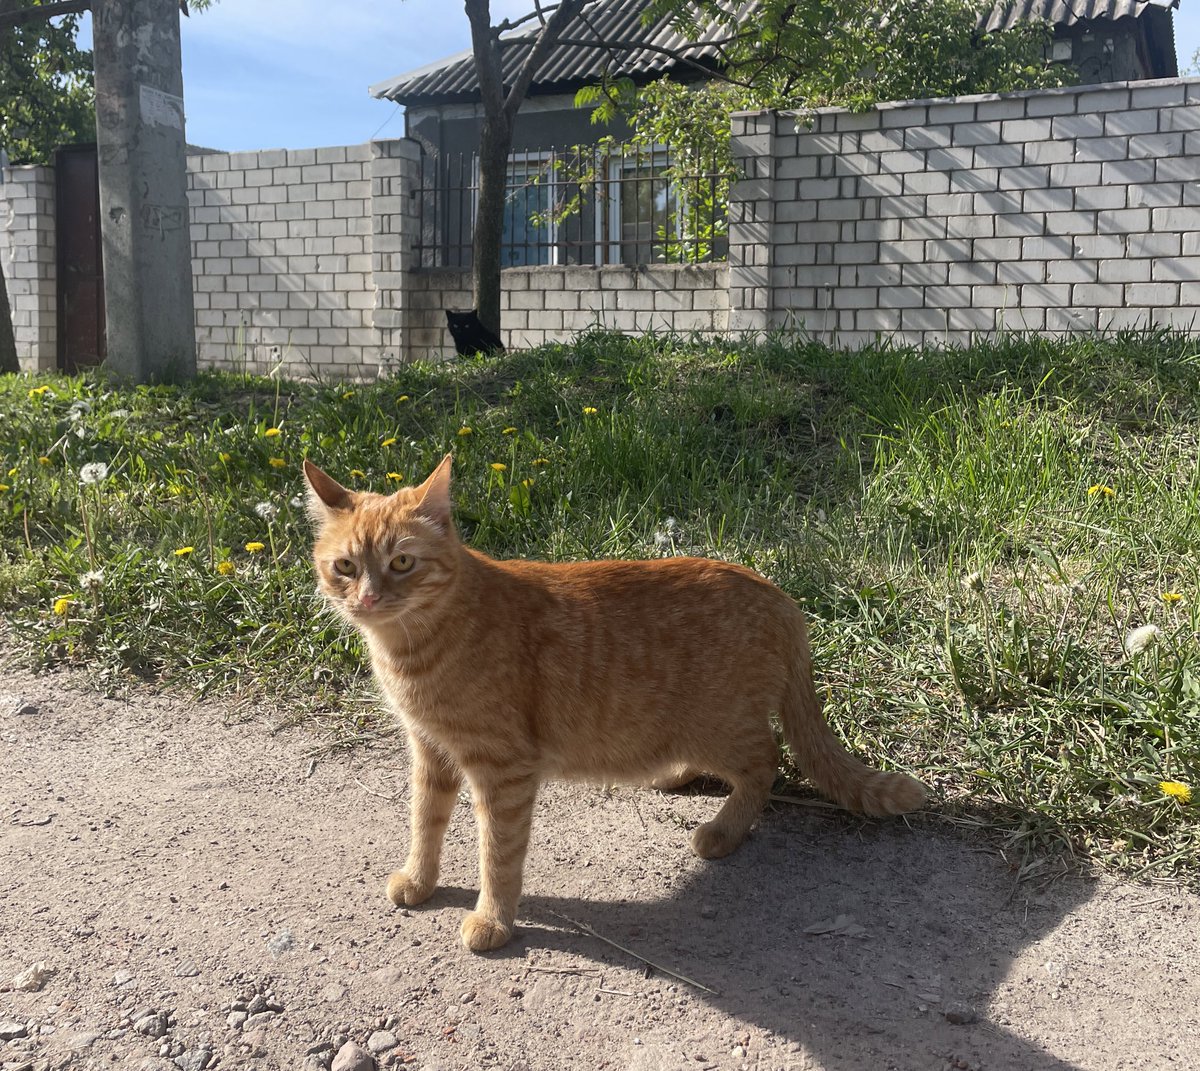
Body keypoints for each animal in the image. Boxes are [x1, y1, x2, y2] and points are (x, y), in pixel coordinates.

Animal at [304, 456, 921, 950]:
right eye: (346, 567)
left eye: (402, 563)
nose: (368, 599)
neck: (411, 650)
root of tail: (777, 592)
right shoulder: (429, 751)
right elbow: (424, 822)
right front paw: (419, 879)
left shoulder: (502, 770)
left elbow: (497, 854)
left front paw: (493, 920)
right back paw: (674, 774)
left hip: (722, 728)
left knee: (765, 763)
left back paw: (723, 832)